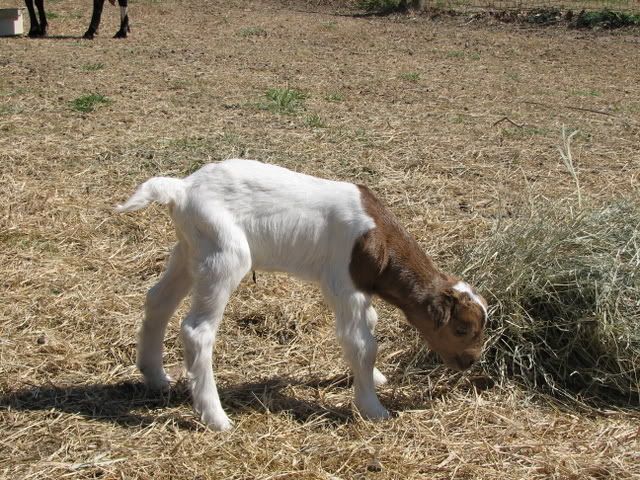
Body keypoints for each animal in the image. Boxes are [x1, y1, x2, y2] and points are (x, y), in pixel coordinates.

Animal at [117, 159, 488, 430]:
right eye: (460, 329)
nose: (471, 361)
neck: (379, 239)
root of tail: (181, 189)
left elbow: (369, 327)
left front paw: (375, 379)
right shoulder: (344, 282)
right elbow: (362, 344)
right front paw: (373, 409)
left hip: (190, 250)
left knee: (158, 301)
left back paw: (155, 376)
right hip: (224, 254)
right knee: (197, 331)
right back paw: (217, 418)